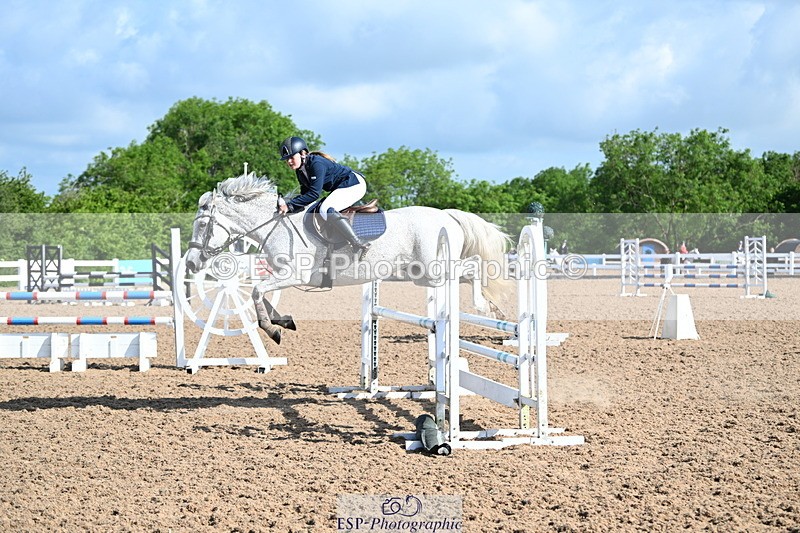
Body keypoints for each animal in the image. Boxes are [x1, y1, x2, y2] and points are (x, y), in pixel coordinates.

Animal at [184, 172, 513, 344]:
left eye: (202, 225)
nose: (190, 262)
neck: (276, 225)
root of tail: (447, 215)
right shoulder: (279, 276)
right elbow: (258, 291)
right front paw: (284, 322)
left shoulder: (294, 275)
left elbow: (255, 291)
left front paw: (273, 330)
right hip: (424, 275)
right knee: (468, 274)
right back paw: (495, 309)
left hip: (434, 268)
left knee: (474, 268)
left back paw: (486, 306)